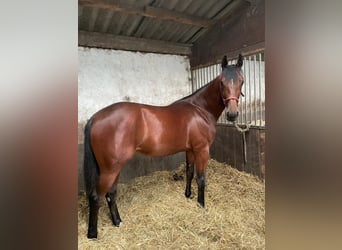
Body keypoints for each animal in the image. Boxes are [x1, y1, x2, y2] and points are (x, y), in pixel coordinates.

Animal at [83, 53, 243, 237]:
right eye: (222, 82)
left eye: (241, 81)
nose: (232, 114)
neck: (200, 109)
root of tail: (95, 118)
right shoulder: (202, 150)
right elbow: (201, 178)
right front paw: (201, 205)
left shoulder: (190, 150)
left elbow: (189, 172)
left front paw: (188, 195)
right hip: (110, 169)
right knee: (97, 197)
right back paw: (93, 234)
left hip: (115, 167)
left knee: (111, 193)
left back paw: (117, 222)